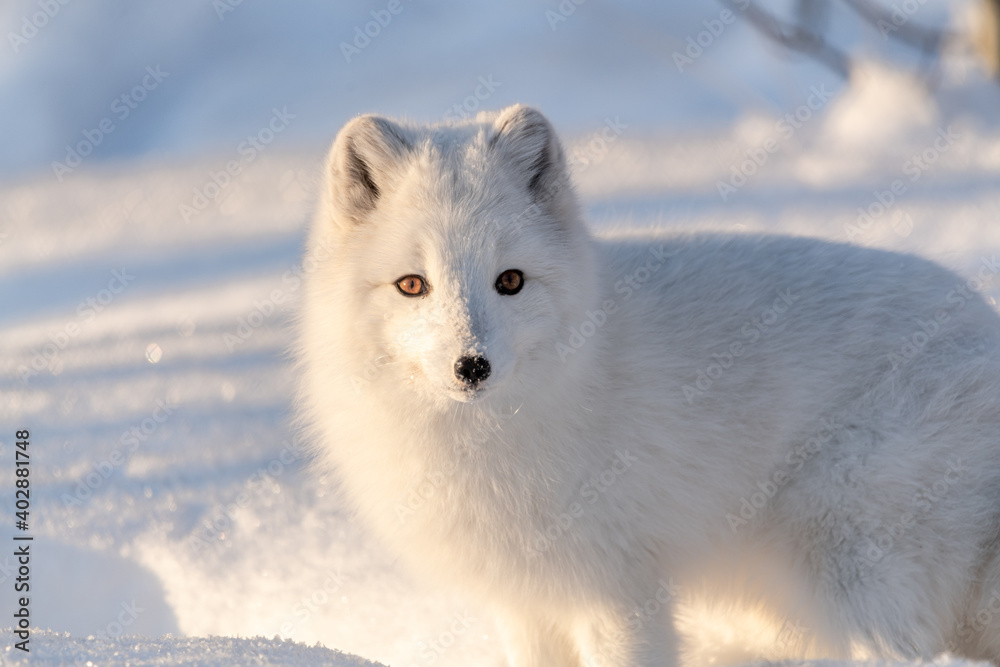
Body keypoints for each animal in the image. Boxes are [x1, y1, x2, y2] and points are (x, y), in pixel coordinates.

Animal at [296, 103, 1000, 664]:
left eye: (510, 280)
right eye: (412, 284)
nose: (472, 367)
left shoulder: (618, 588)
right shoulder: (528, 598)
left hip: (849, 555)